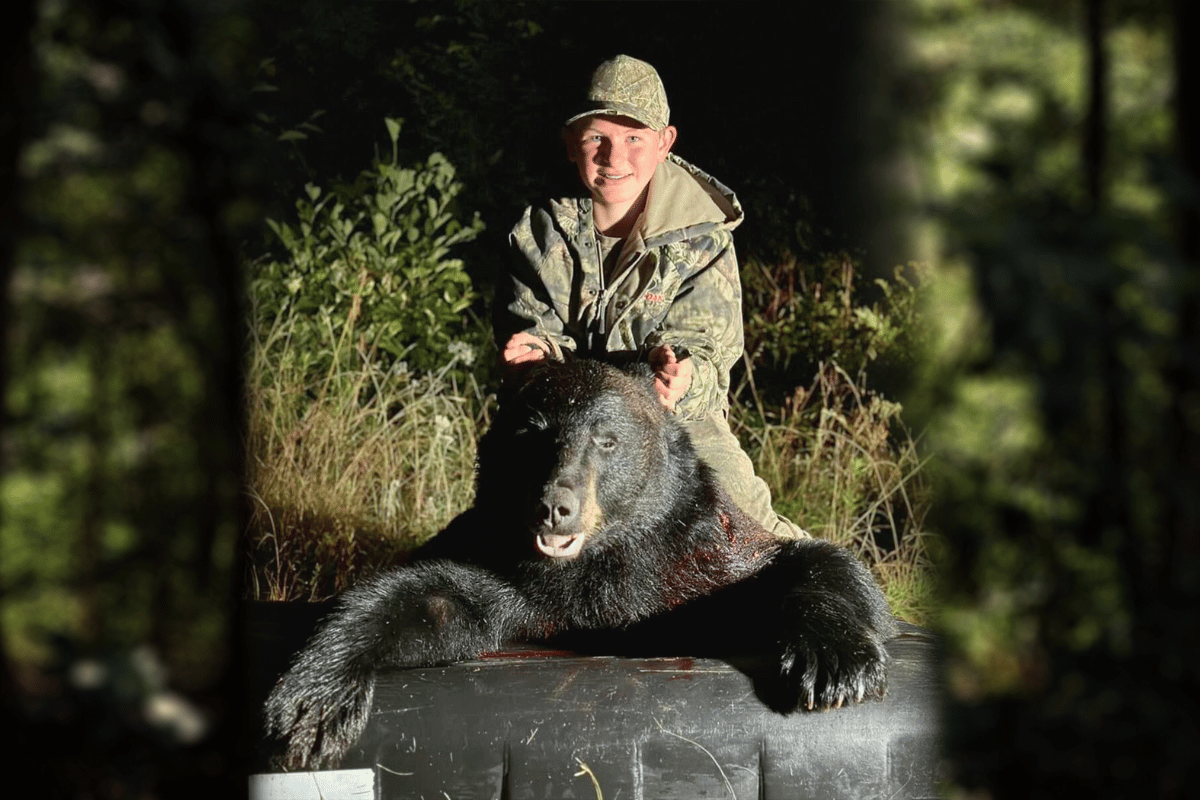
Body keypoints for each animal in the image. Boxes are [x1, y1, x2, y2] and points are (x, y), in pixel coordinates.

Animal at [263, 359, 896, 770]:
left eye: (607, 439)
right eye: (531, 432)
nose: (553, 506)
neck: (595, 566)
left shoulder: (691, 557)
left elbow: (808, 561)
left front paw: (835, 663)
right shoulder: (506, 570)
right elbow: (427, 596)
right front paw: (314, 704)